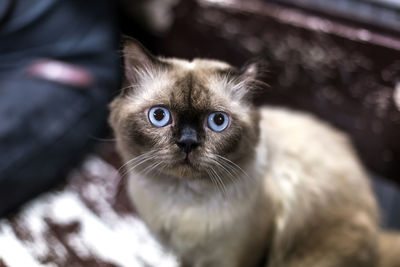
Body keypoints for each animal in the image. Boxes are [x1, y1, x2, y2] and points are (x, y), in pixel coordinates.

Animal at [109, 38, 400, 267]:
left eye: (217, 121)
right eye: (159, 116)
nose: (188, 142)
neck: (182, 202)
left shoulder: (237, 257)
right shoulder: (186, 255)